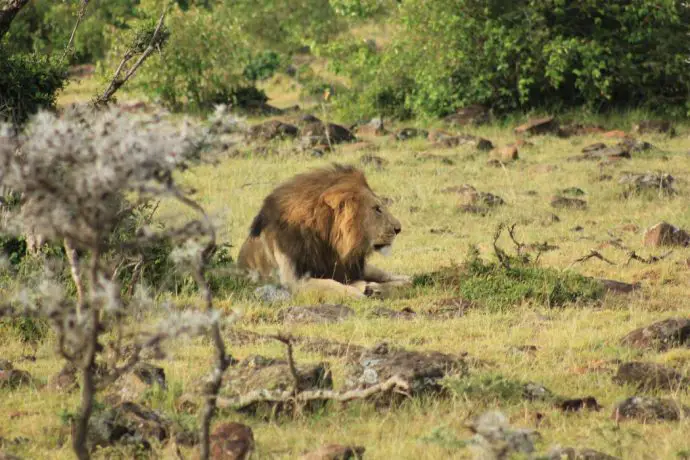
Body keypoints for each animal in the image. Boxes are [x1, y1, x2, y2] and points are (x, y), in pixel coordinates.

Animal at [236, 163, 408, 298]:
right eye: (377, 209)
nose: (398, 229)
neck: (329, 242)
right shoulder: (293, 281)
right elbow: (329, 283)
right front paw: (355, 292)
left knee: (388, 276)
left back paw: (403, 280)